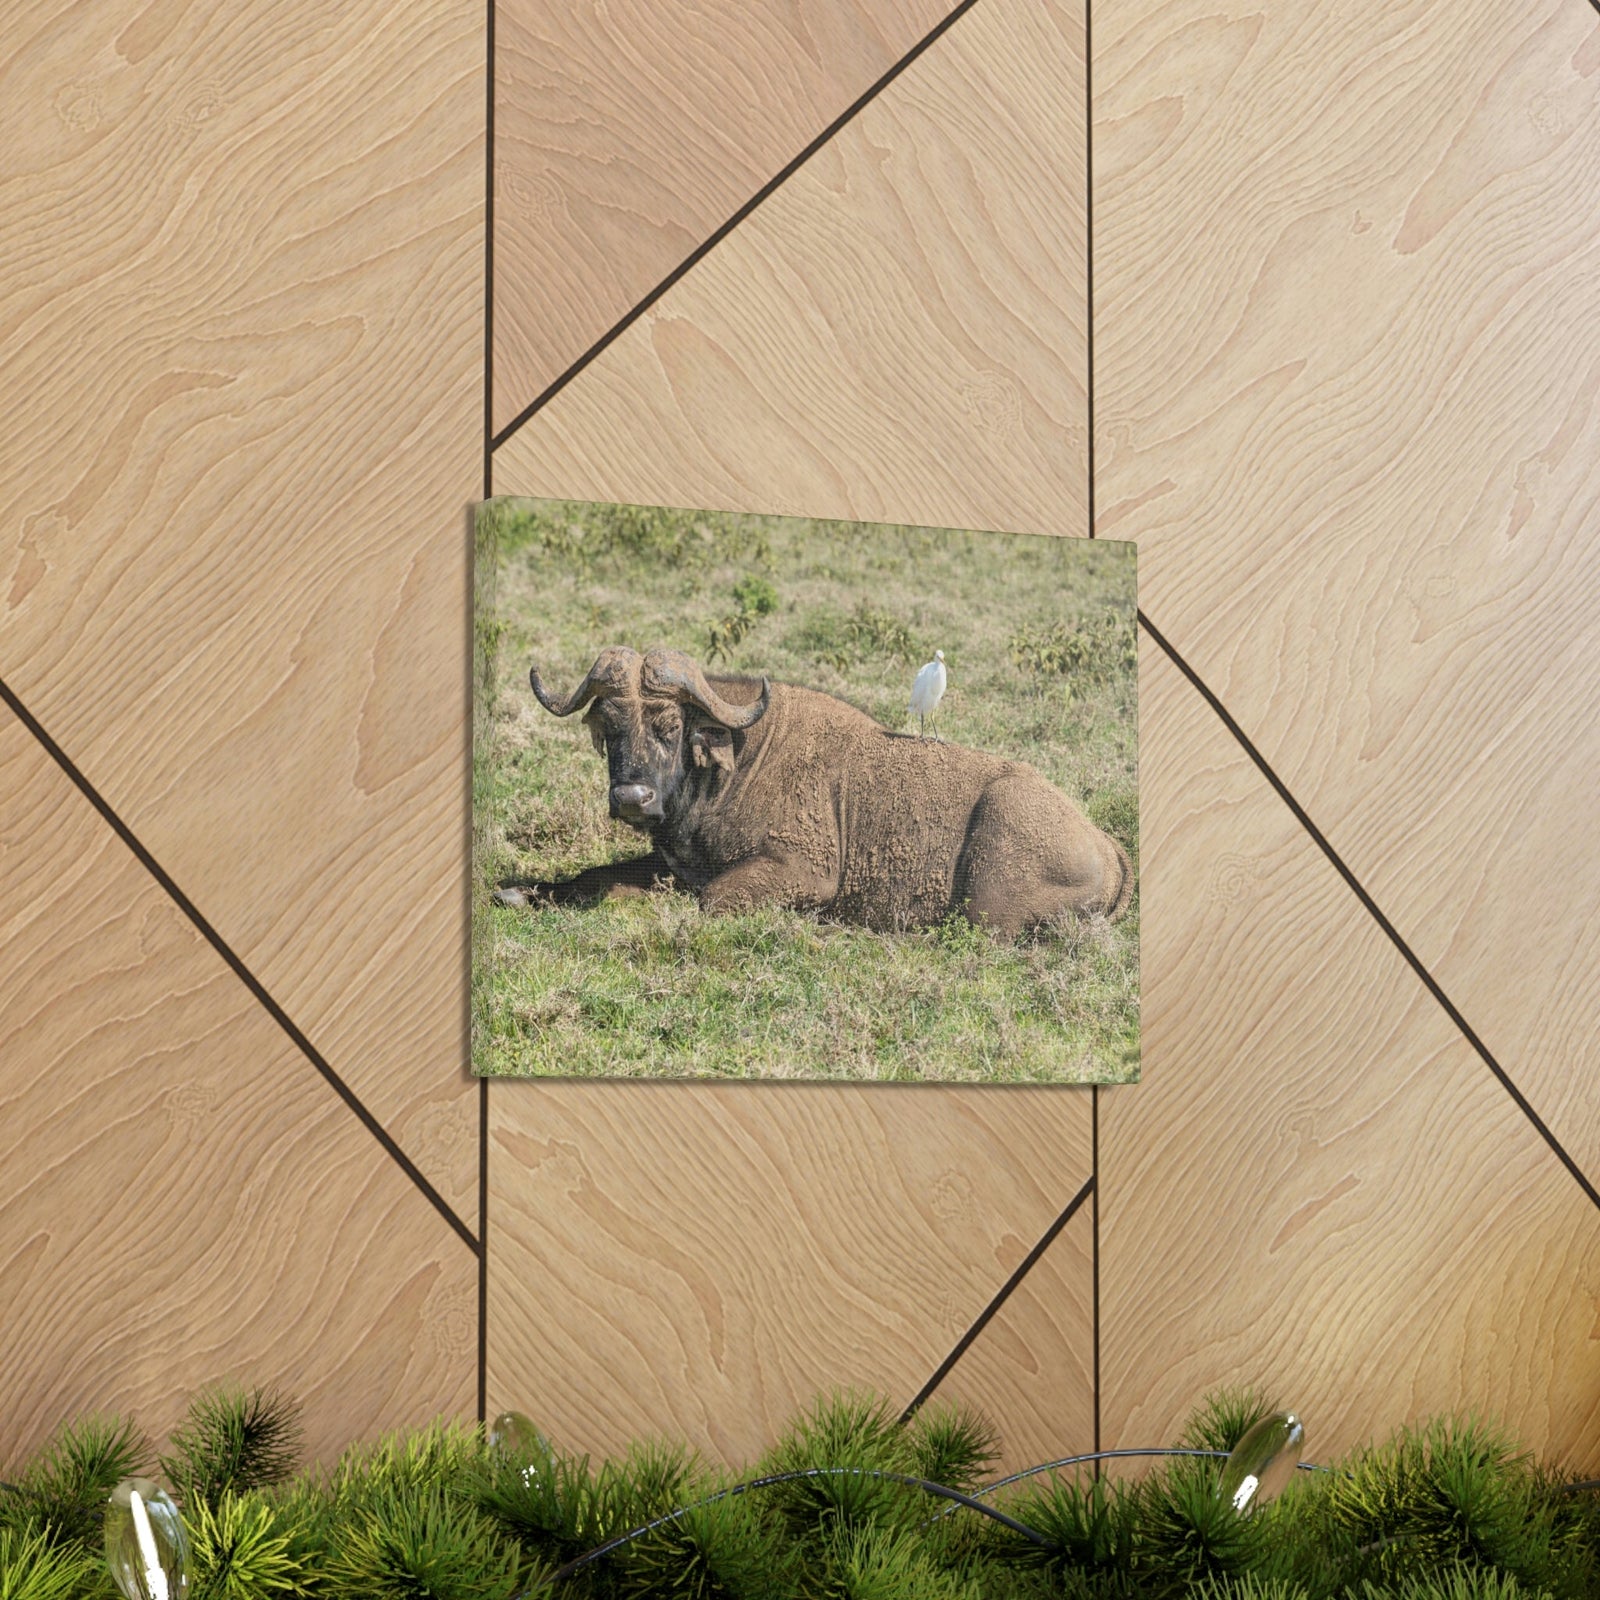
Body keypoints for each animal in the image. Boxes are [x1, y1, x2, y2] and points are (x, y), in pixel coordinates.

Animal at [494, 645, 1133, 940]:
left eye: (669, 726)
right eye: (610, 725)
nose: (632, 798)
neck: (736, 761)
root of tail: (1106, 844)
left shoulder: (801, 872)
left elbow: (709, 899)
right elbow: (591, 876)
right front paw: (520, 892)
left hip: (988, 896)